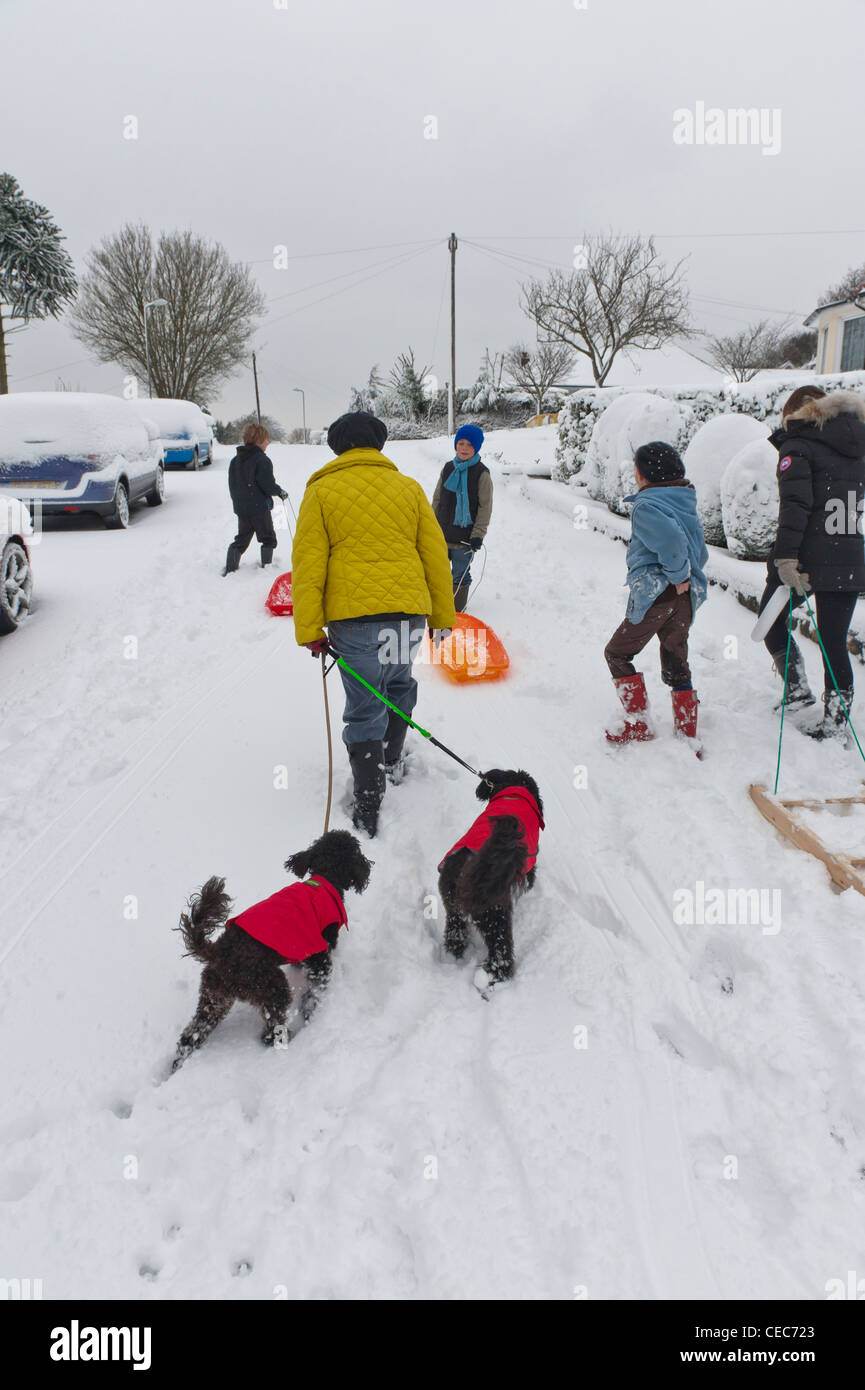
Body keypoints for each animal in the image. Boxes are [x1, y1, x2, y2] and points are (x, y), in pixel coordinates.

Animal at [171, 828, 369, 1067]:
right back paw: (285, 1038)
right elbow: (316, 989)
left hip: (215, 996)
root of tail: (218, 953)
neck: (326, 877)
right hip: (271, 986)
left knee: (191, 1036)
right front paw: (310, 1011)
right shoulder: (319, 956)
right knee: (270, 1029)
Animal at [436, 772, 545, 989]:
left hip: (452, 905)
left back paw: (454, 954)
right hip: (496, 916)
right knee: (501, 953)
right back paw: (491, 977)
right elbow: (530, 879)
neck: (515, 791)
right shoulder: (529, 866)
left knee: (455, 931)